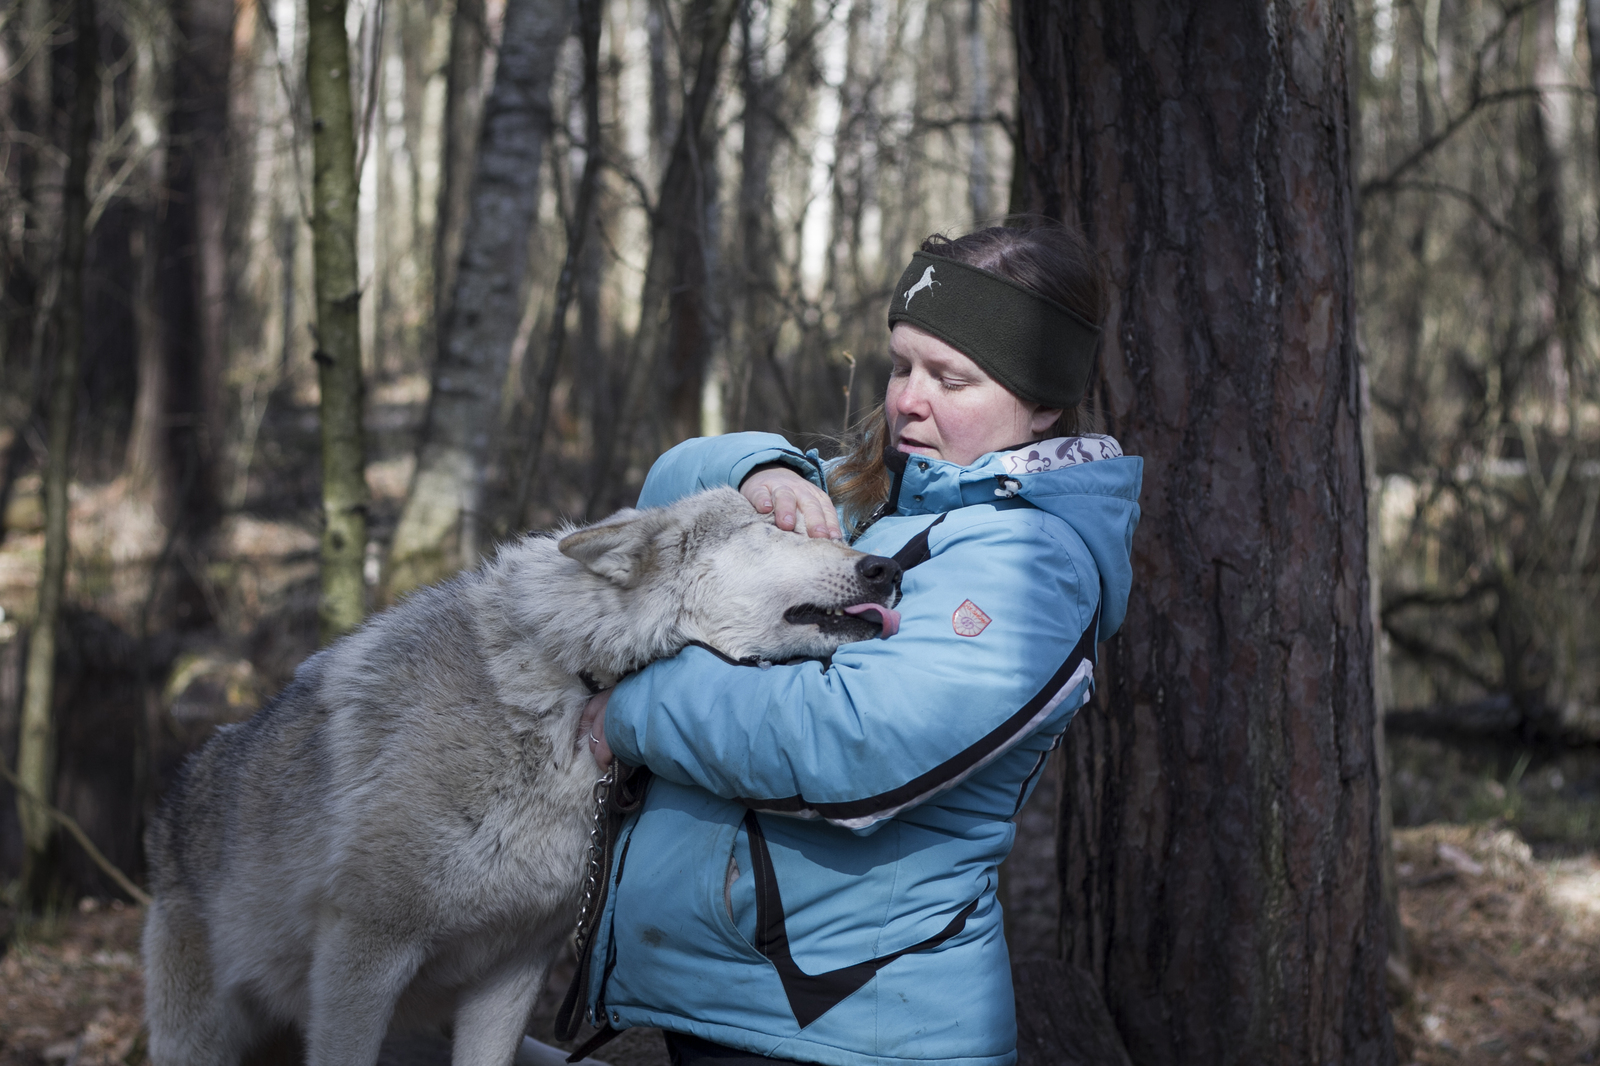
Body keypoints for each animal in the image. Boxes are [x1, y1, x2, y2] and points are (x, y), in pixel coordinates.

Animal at [140, 486, 902, 1062]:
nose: (888, 569)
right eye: (775, 531)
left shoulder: (516, 964)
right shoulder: (366, 950)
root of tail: (168, 811)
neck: (566, 692)